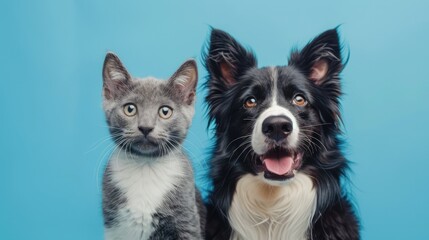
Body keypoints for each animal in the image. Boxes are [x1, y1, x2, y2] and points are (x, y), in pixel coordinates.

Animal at [102, 53, 206, 240]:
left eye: (165, 111)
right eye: (130, 109)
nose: (145, 127)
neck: (145, 166)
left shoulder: (186, 221)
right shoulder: (114, 228)